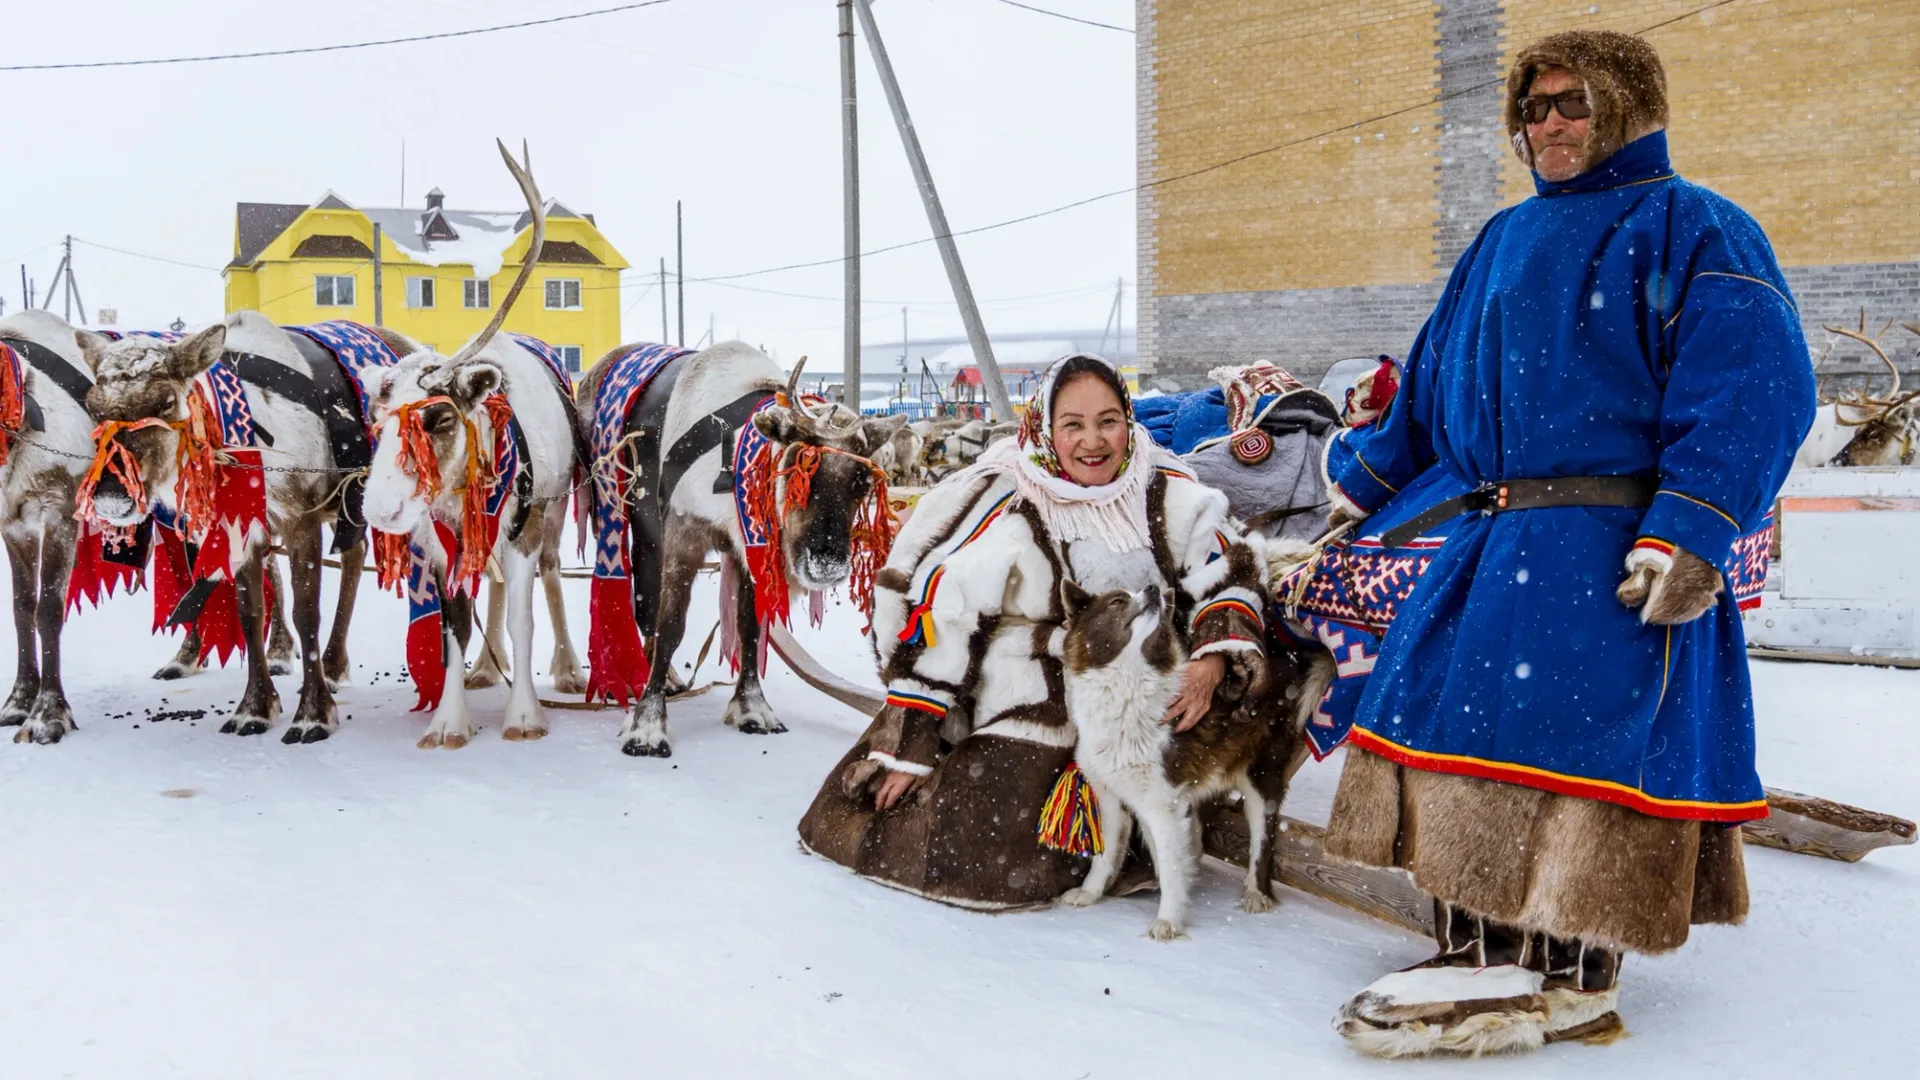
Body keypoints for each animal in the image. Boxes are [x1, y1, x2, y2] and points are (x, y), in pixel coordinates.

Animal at [1052, 576, 1305, 937]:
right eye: (1116, 602)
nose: (1154, 589)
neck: (1127, 692)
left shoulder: (1163, 804)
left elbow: (1171, 866)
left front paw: (1168, 921)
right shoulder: (1115, 798)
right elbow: (1109, 854)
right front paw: (1090, 893)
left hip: (1260, 778)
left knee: (1263, 835)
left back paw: (1257, 891)